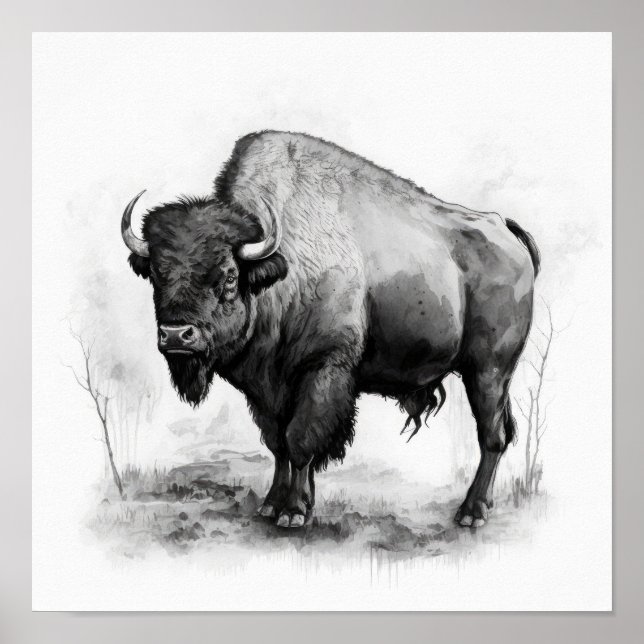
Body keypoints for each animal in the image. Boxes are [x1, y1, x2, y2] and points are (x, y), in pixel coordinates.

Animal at [121, 131, 539, 529]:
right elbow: (277, 442)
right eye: (156, 274)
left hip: (489, 371)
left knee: (492, 435)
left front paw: (293, 512)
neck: (282, 271)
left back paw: (471, 512)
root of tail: (504, 228)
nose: (176, 335)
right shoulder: (266, 388)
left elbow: (301, 440)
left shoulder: (324, 369)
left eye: (228, 277)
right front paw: (272, 505)